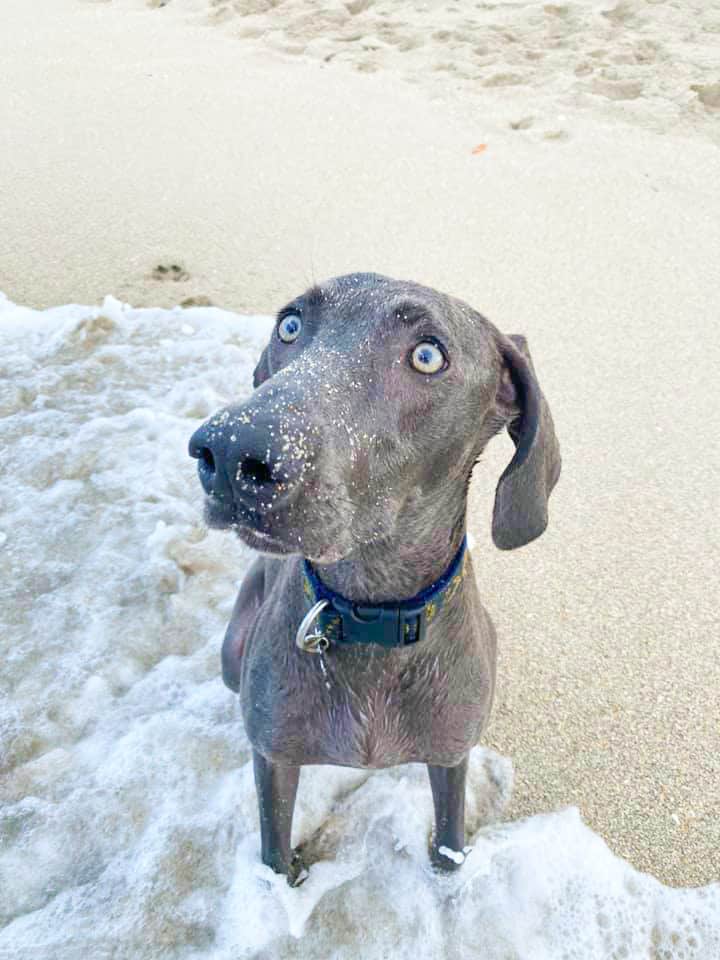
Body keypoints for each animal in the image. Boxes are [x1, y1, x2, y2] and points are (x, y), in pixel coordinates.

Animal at [188, 270, 560, 884]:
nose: (232, 448)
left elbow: (450, 841)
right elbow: (273, 852)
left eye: (428, 356)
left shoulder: (451, 753)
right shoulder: (275, 758)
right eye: (290, 326)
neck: (370, 613)